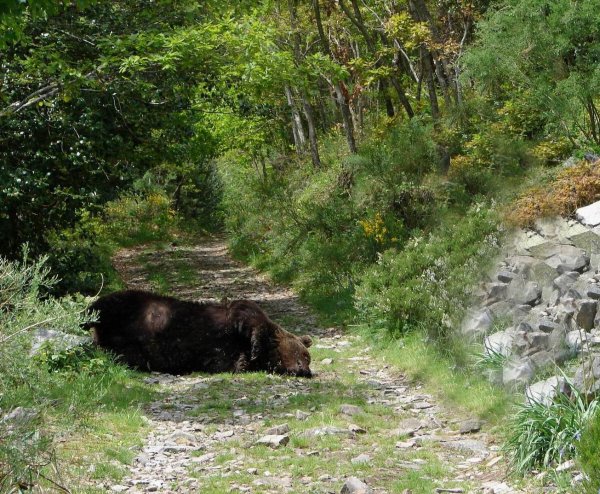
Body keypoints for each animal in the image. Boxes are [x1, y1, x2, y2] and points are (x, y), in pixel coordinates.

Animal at [90, 288, 314, 376]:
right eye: (305, 355)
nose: (305, 370)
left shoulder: (220, 354)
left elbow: (230, 362)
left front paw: (246, 360)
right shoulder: (238, 316)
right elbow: (249, 316)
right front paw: (255, 348)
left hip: (128, 348)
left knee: (124, 354)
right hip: (131, 303)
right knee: (103, 304)